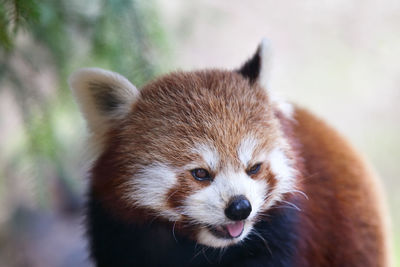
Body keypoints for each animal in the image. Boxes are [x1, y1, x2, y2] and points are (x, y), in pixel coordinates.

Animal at [69, 38, 390, 266]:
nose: (240, 207)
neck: (205, 251)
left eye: (254, 168)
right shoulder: (119, 233)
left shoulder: (286, 233)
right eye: (200, 173)